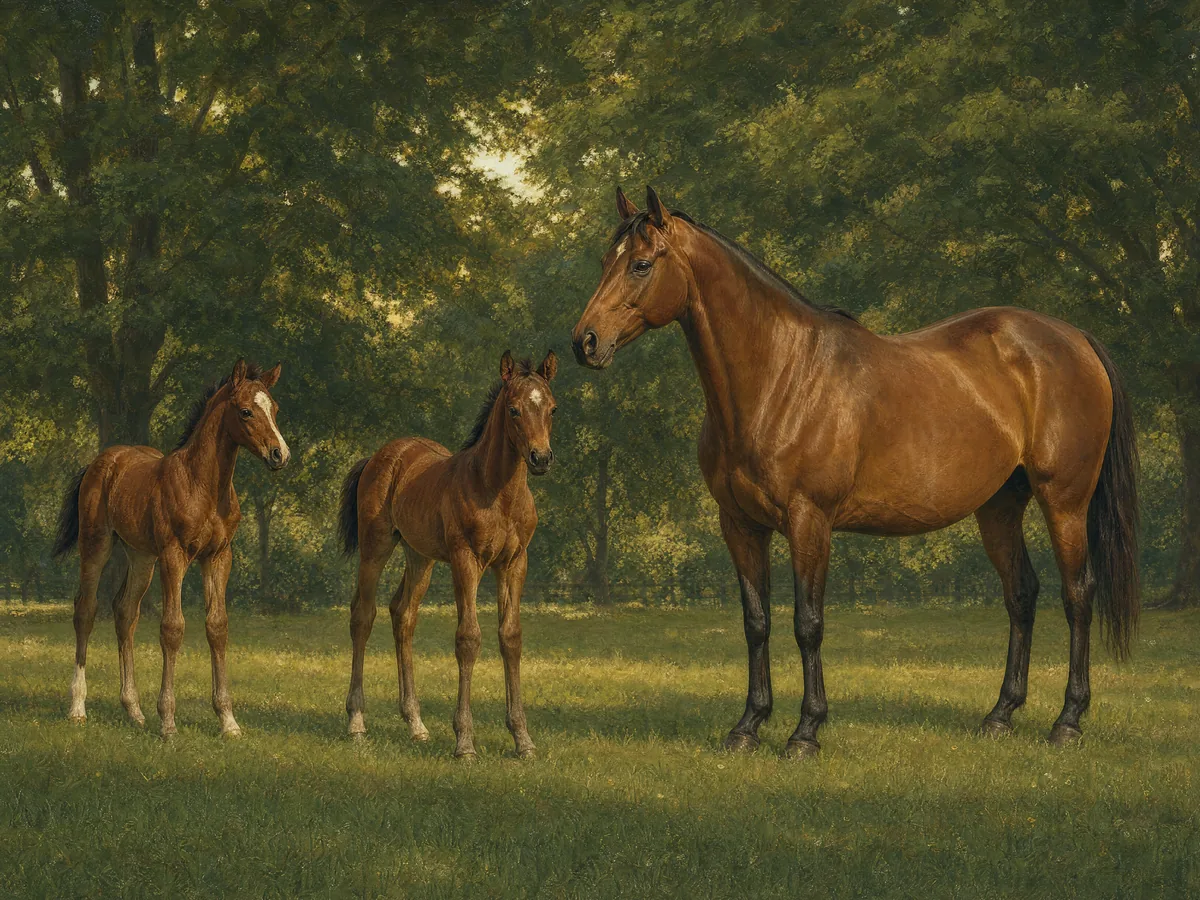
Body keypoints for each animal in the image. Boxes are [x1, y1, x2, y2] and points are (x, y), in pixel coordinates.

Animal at [52, 360, 290, 739]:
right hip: (96, 544)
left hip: (141, 557)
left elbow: (217, 627)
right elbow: (172, 628)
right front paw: (167, 722)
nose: (280, 454)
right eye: (246, 411)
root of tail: (102, 460)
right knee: (86, 610)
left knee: (125, 612)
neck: (203, 485)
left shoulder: (218, 556)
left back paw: (134, 711)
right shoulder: (174, 556)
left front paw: (228, 721)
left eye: (276, 409)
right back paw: (77, 708)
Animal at [338, 350, 557, 759]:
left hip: (419, 556)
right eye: (514, 410)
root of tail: (380, 455)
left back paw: (416, 724)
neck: (497, 491)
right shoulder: (465, 559)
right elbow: (468, 639)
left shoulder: (514, 562)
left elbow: (511, 637)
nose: (541, 458)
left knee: (402, 615)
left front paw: (522, 739)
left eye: (552, 408)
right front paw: (464, 741)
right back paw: (357, 721)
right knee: (363, 614)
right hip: (376, 546)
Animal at [571, 186, 1139, 757]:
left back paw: (1068, 721)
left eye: (641, 264)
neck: (780, 376)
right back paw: (1000, 715)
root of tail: (1075, 339)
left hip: (1064, 502)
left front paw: (806, 732)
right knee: (1021, 594)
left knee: (1077, 595)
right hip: (999, 506)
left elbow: (807, 623)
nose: (585, 342)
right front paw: (748, 725)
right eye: (603, 262)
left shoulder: (809, 522)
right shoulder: (740, 525)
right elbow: (757, 623)